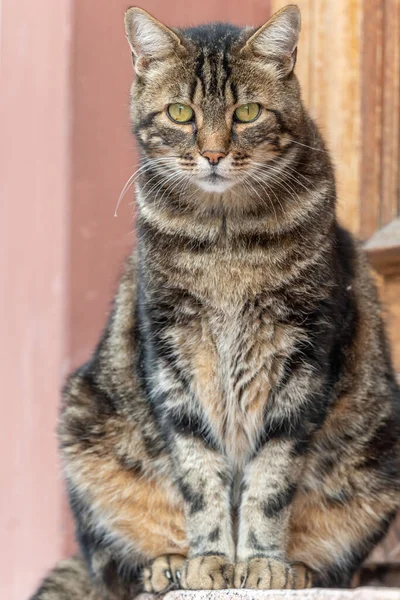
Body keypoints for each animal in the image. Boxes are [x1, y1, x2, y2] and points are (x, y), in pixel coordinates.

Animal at [31, 4, 400, 600]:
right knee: (109, 564)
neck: (224, 238)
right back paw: (168, 564)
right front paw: (208, 560)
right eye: (180, 113)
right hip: (84, 423)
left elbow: (269, 481)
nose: (212, 153)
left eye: (246, 112)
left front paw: (263, 564)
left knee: (340, 567)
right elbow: (200, 474)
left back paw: (298, 570)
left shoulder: (302, 360)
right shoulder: (173, 359)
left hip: (382, 452)